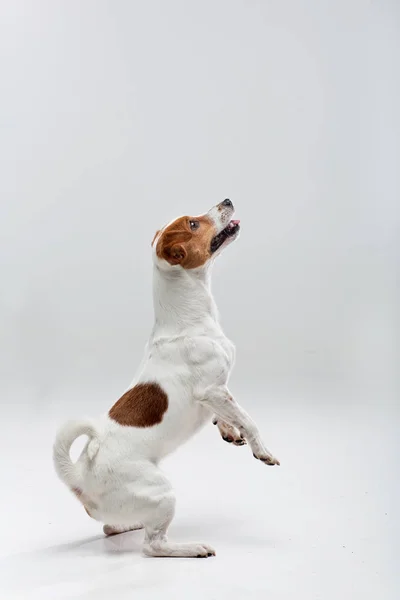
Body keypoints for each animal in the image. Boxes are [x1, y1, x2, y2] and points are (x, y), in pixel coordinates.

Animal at [53, 198, 280, 556]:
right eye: (193, 224)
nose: (227, 200)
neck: (188, 318)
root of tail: (78, 477)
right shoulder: (213, 390)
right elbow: (249, 419)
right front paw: (262, 450)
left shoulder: (216, 394)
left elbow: (227, 416)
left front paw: (228, 430)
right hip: (161, 493)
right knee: (153, 545)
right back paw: (192, 548)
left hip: (135, 505)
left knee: (110, 526)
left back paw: (130, 525)